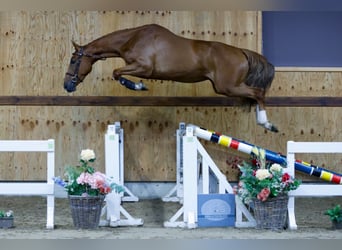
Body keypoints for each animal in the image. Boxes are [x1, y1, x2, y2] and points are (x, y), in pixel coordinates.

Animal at [64, 23, 278, 133]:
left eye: (74, 60)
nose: (67, 85)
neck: (133, 38)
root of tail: (241, 52)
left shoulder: (144, 67)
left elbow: (117, 73)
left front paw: (139, 86)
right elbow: (117, 73)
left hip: (227, 86)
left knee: (258, 93)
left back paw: (266, 123)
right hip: (226, 87)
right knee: (254, 95)